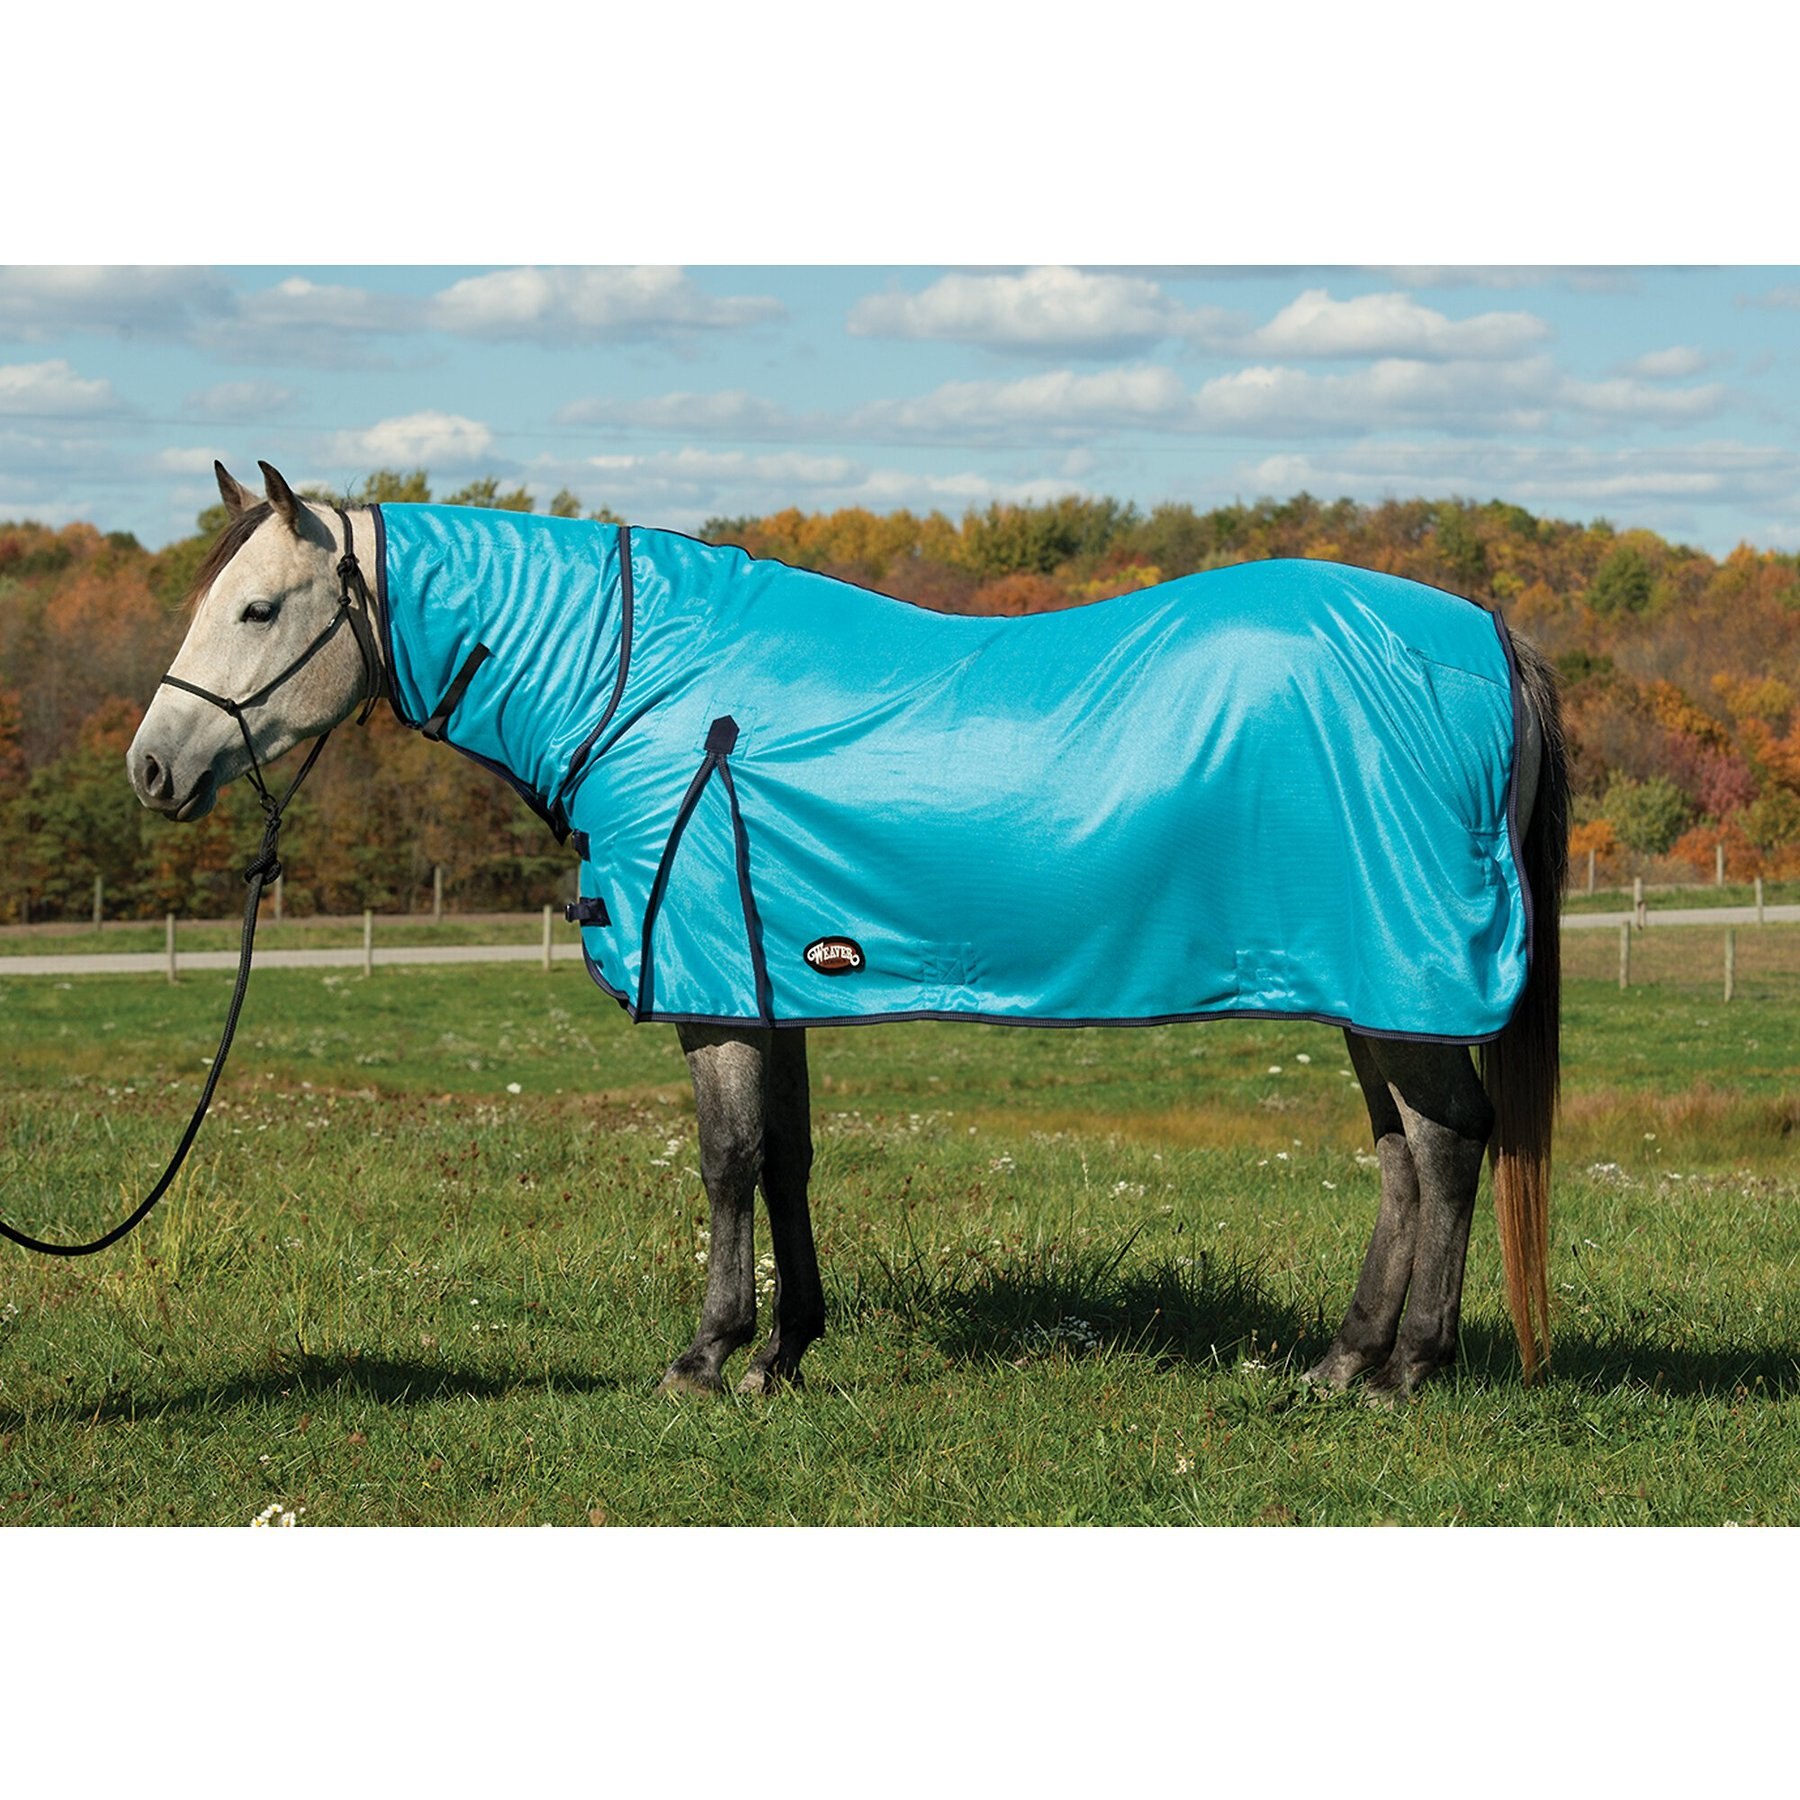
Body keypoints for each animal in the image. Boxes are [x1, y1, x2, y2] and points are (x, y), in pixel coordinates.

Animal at [128, 461, 1568, 1400]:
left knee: (1448, 1146)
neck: (644, 683)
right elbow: (788, 1162)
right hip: (1373, 984)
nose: (152, 768)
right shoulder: (770, 980)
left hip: (1401, 978)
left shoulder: (710, 986)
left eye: (258, 609)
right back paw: (1344, 1362)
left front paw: (707, 1358)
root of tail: (1484, 639)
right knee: (1407, 1155)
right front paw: (785, 1350)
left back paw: (1408, 1370)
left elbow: (724, 1164)